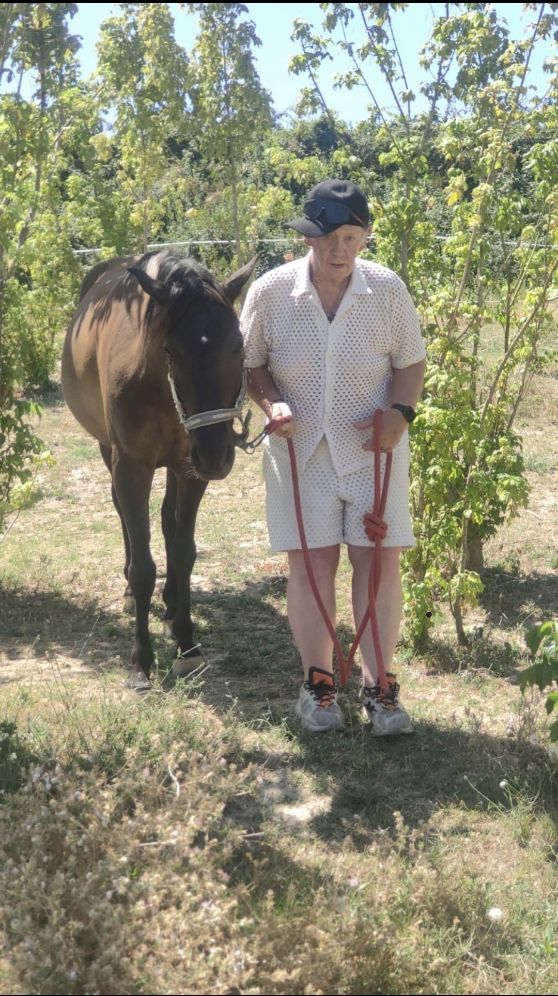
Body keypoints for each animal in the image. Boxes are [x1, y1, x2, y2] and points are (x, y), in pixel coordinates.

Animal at [63, 249, 258, 688]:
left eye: (238, 346)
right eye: (171, 351)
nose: (217, 455)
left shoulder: (189, 470)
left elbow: (183, 551)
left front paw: (187, 645)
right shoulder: (131, 466)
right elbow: (143, 565)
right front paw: (141, 662)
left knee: (168, 523)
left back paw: (169, 608)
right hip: (111, 453)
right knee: (122, 514)